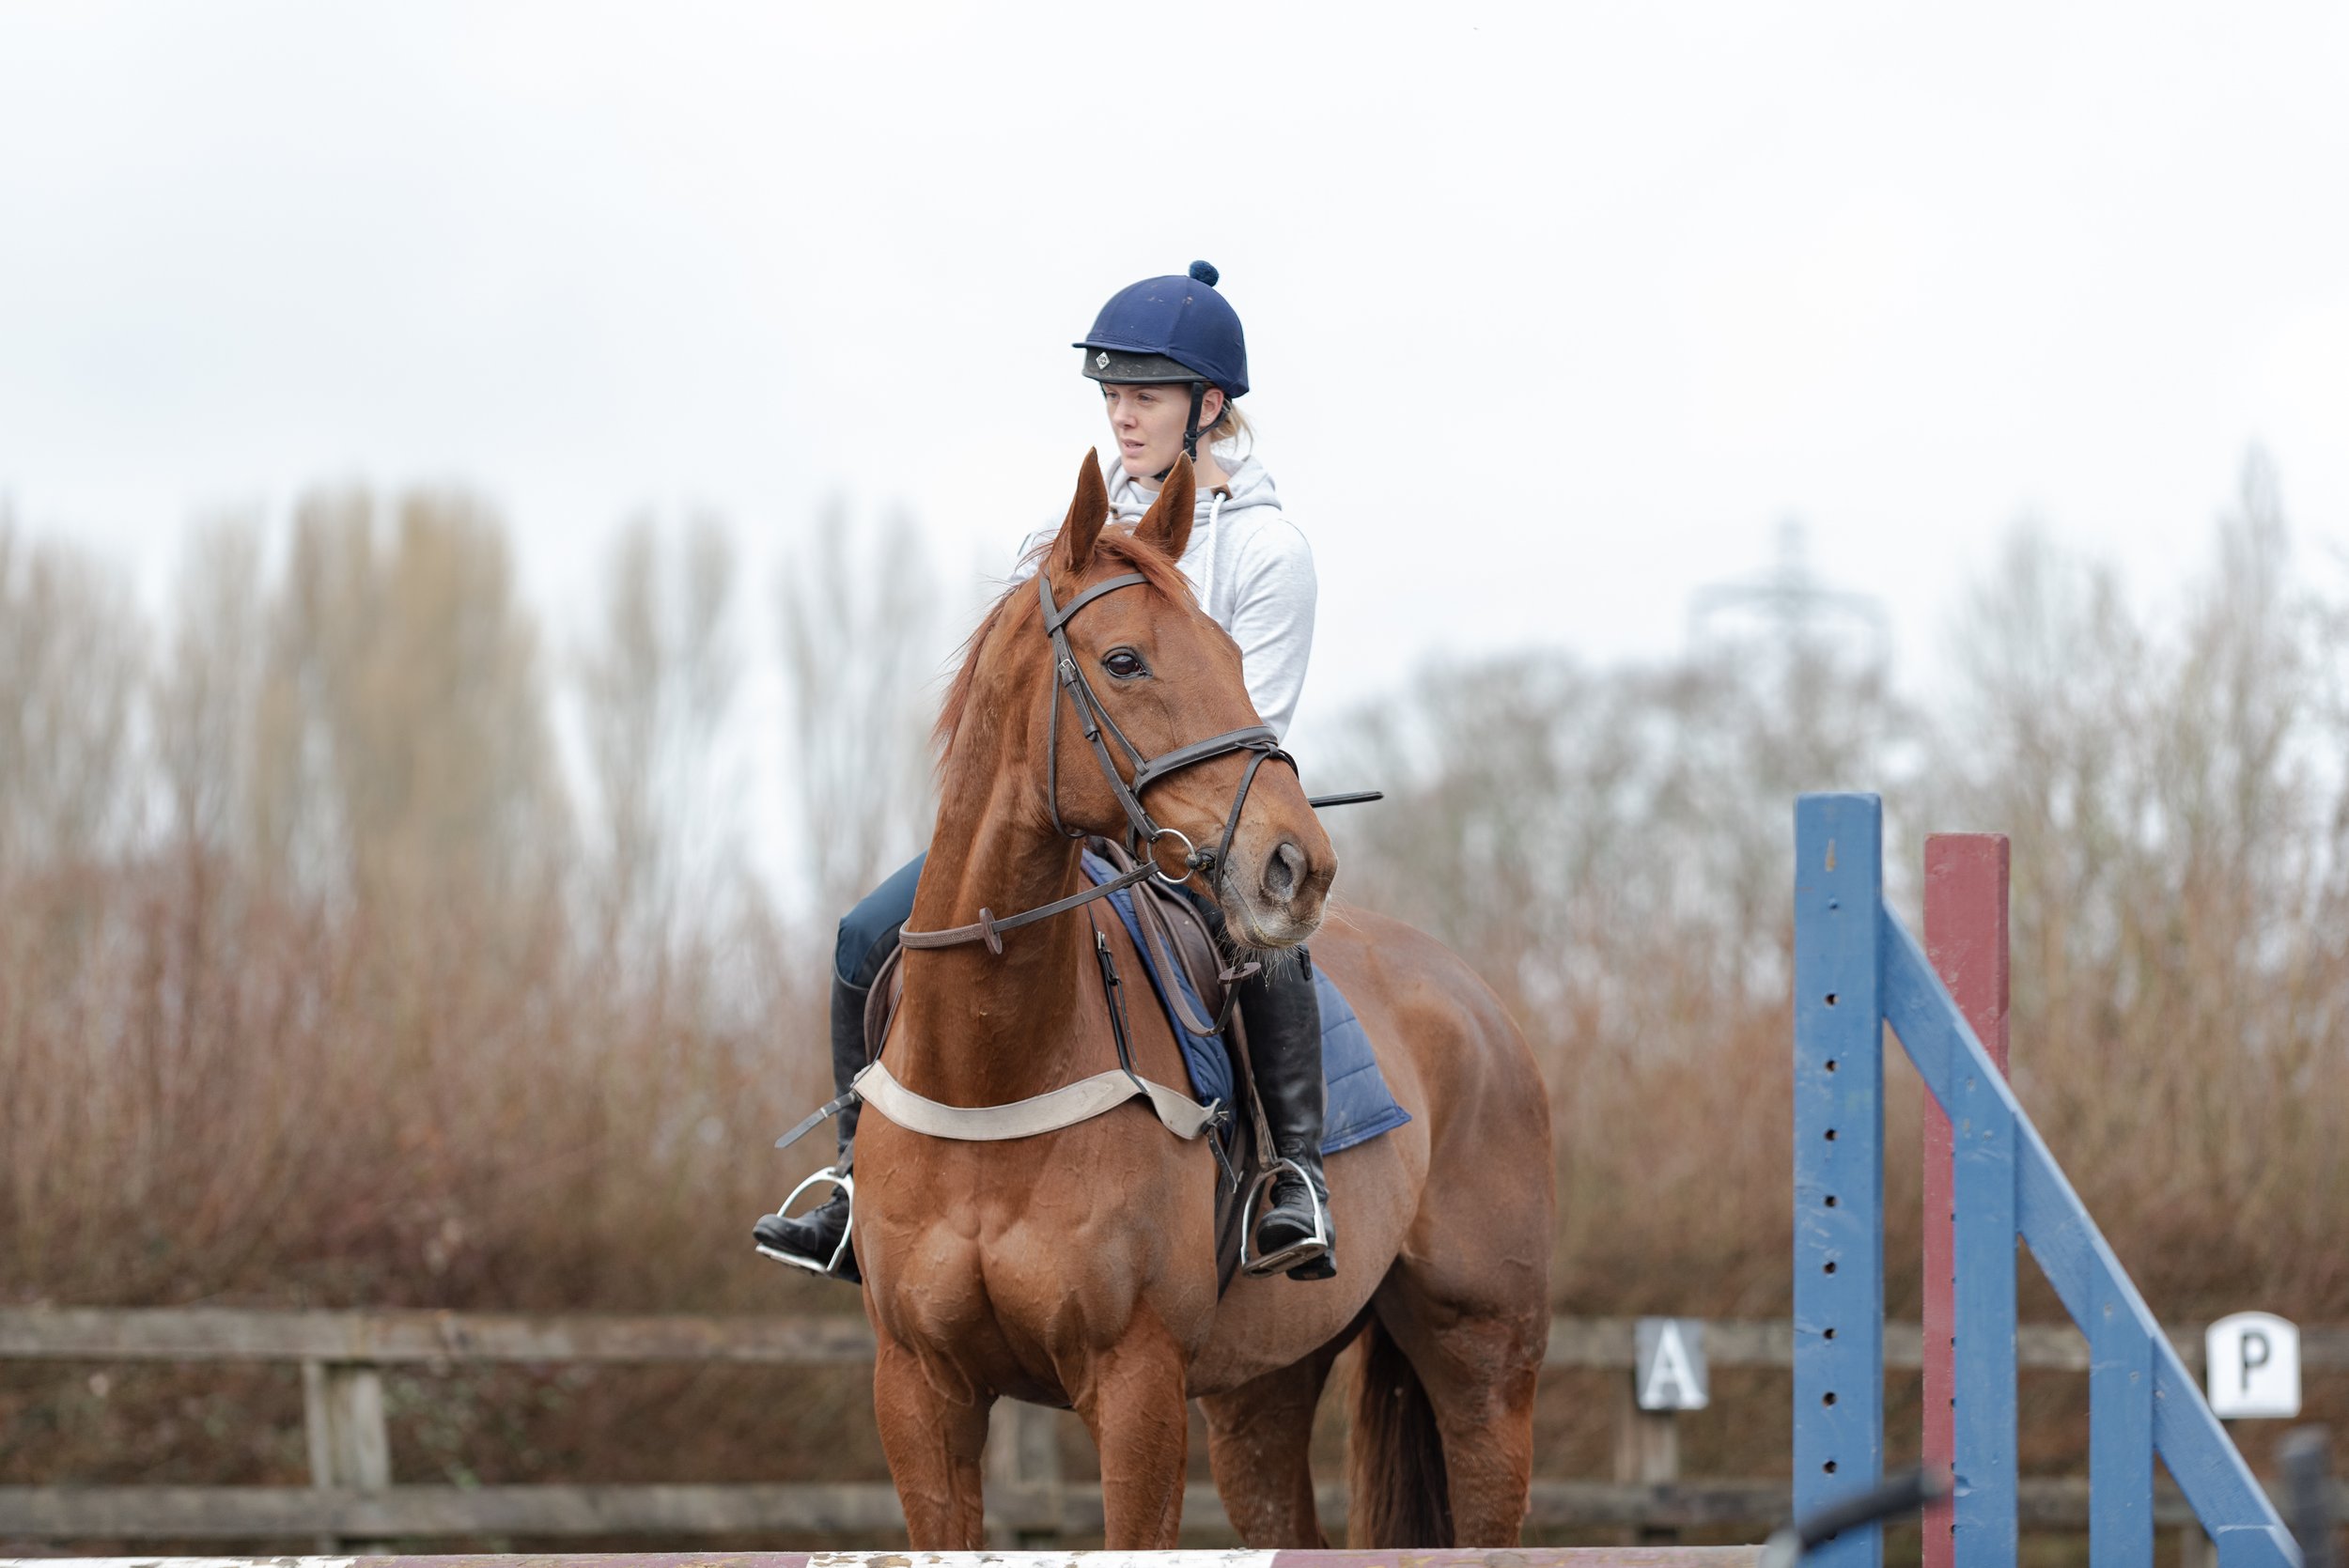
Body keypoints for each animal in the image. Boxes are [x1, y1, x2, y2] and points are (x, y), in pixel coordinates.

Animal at [851, 450, 1554, 1549]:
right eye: (1125, 660)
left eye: (1232, 650)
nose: (1296, 864)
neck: (993, 1070)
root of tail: (1477, 1004)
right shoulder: (921, 1391)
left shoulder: (1136, 1384)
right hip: (1261, 1390)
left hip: (1486, 1365)